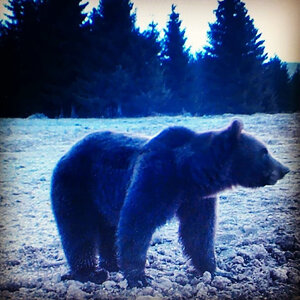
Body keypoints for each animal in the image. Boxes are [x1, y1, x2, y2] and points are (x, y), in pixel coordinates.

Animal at [51, 118, 288, 288]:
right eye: (264, 151)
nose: (284, 169)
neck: (188, 173)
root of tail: (67, 151)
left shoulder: (196, 199)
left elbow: (199, 232)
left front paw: (217, 270)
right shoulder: (155, 177)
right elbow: (136, 224)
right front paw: (139, 278)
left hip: (103, 196)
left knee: (108, 229)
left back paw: (113, 264)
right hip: (76, 185)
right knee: (78, 230)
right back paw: (90, 272)